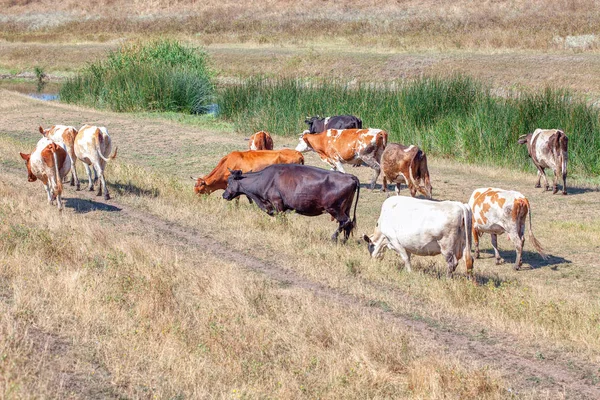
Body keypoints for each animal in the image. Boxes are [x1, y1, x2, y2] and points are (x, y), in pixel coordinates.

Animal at [221, 164, 358, 242]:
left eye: (229, 181)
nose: (224, 195)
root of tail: (350, 176)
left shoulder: (277, 203)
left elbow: (282, 220)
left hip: (334, 209)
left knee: (346, 221)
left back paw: (333, 238)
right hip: (346, 208)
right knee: (348, 224)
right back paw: (344, 242)